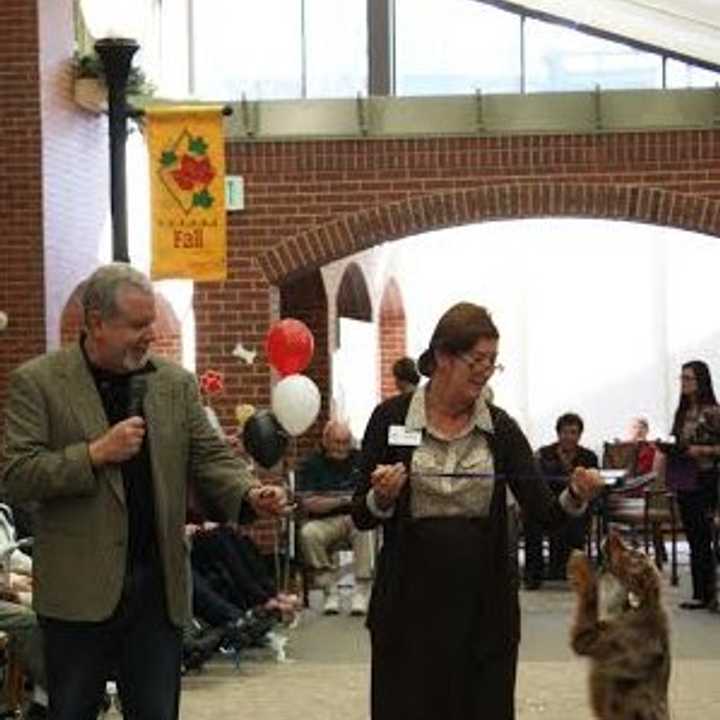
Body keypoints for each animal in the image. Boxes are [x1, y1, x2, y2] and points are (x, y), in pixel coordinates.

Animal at [568, 528, 668, 720]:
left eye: (633, 553)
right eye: (637, 550)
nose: (614, 529)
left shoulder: (585, 640)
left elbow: (590, 593)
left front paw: (580, 564)